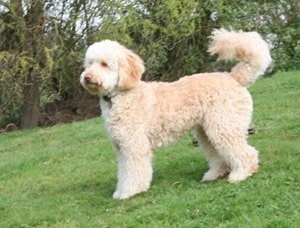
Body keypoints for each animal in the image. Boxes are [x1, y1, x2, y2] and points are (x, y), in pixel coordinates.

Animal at [79, 29, 272, 200]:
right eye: (89, 63)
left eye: (104, 64)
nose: (86, 77)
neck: (120, 96)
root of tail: (234, 77)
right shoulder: (121, 148)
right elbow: (124, 172)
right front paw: (120, 191)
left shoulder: (134, 146)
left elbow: (134, 172)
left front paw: (129, 192)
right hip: (207, 131)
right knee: (219, 156)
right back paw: (213, 175)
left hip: (224, 126)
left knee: (246, 153)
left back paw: (241, 174)